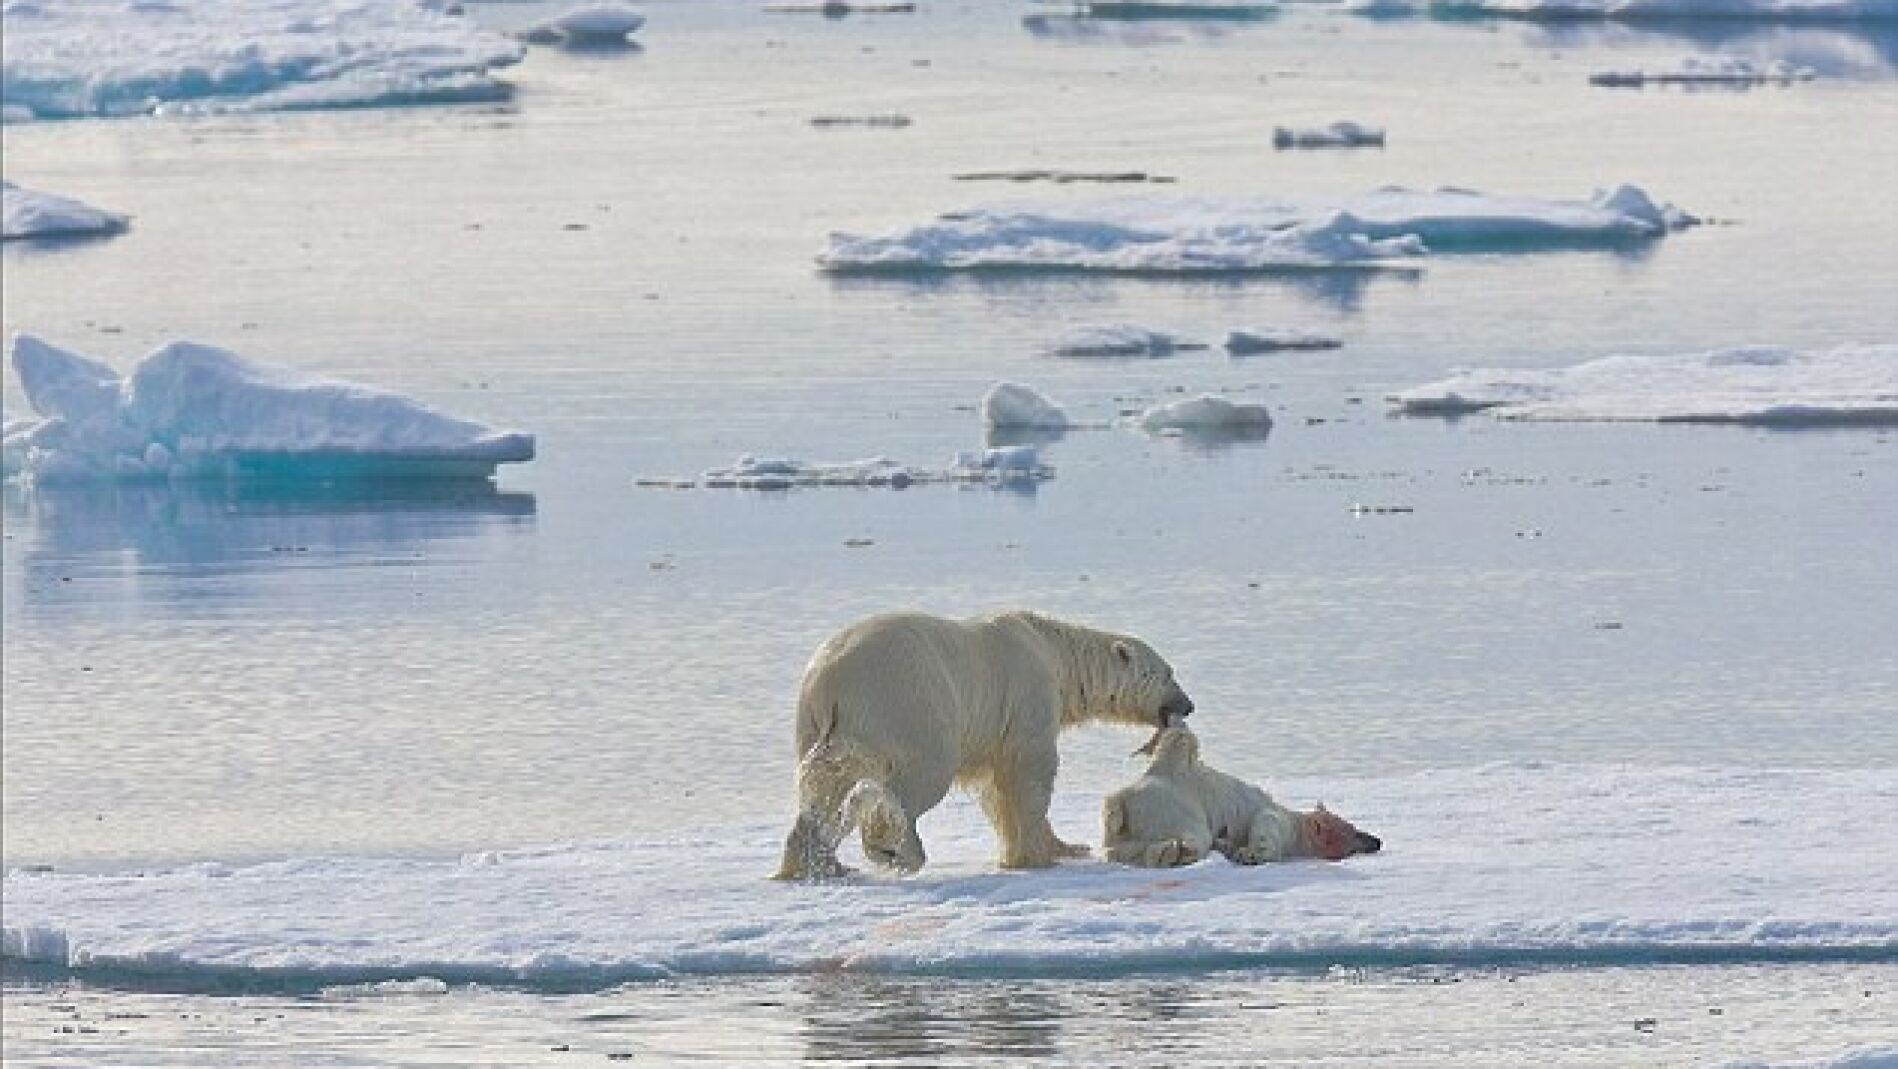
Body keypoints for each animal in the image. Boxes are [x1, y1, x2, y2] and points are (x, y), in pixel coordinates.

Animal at [773, 610, 1195, 880]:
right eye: (1168, 673)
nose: (1189, 704)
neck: (1053, 650)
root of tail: (828, 684)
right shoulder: (1029, 695)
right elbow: (1030, 774)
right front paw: (1047, 852)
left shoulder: (994, 726)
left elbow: (996, 788)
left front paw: (1045, 850)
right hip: (904, 705)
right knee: (918, 778)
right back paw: (898, 850)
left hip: (815, 726)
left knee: (828, 786)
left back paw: (819, 863)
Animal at [1102, 726, 1380, 868]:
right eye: (1350, 831)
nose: (1376, 841)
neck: (1297, 824)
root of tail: (1122, 799)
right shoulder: (1282, 824)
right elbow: (1265, 824)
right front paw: (1249, 854)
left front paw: (1227, 846)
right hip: (1171, 806)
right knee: (1194, 835)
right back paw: (1178, 852)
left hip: (1125, 827)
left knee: (1121, 849)